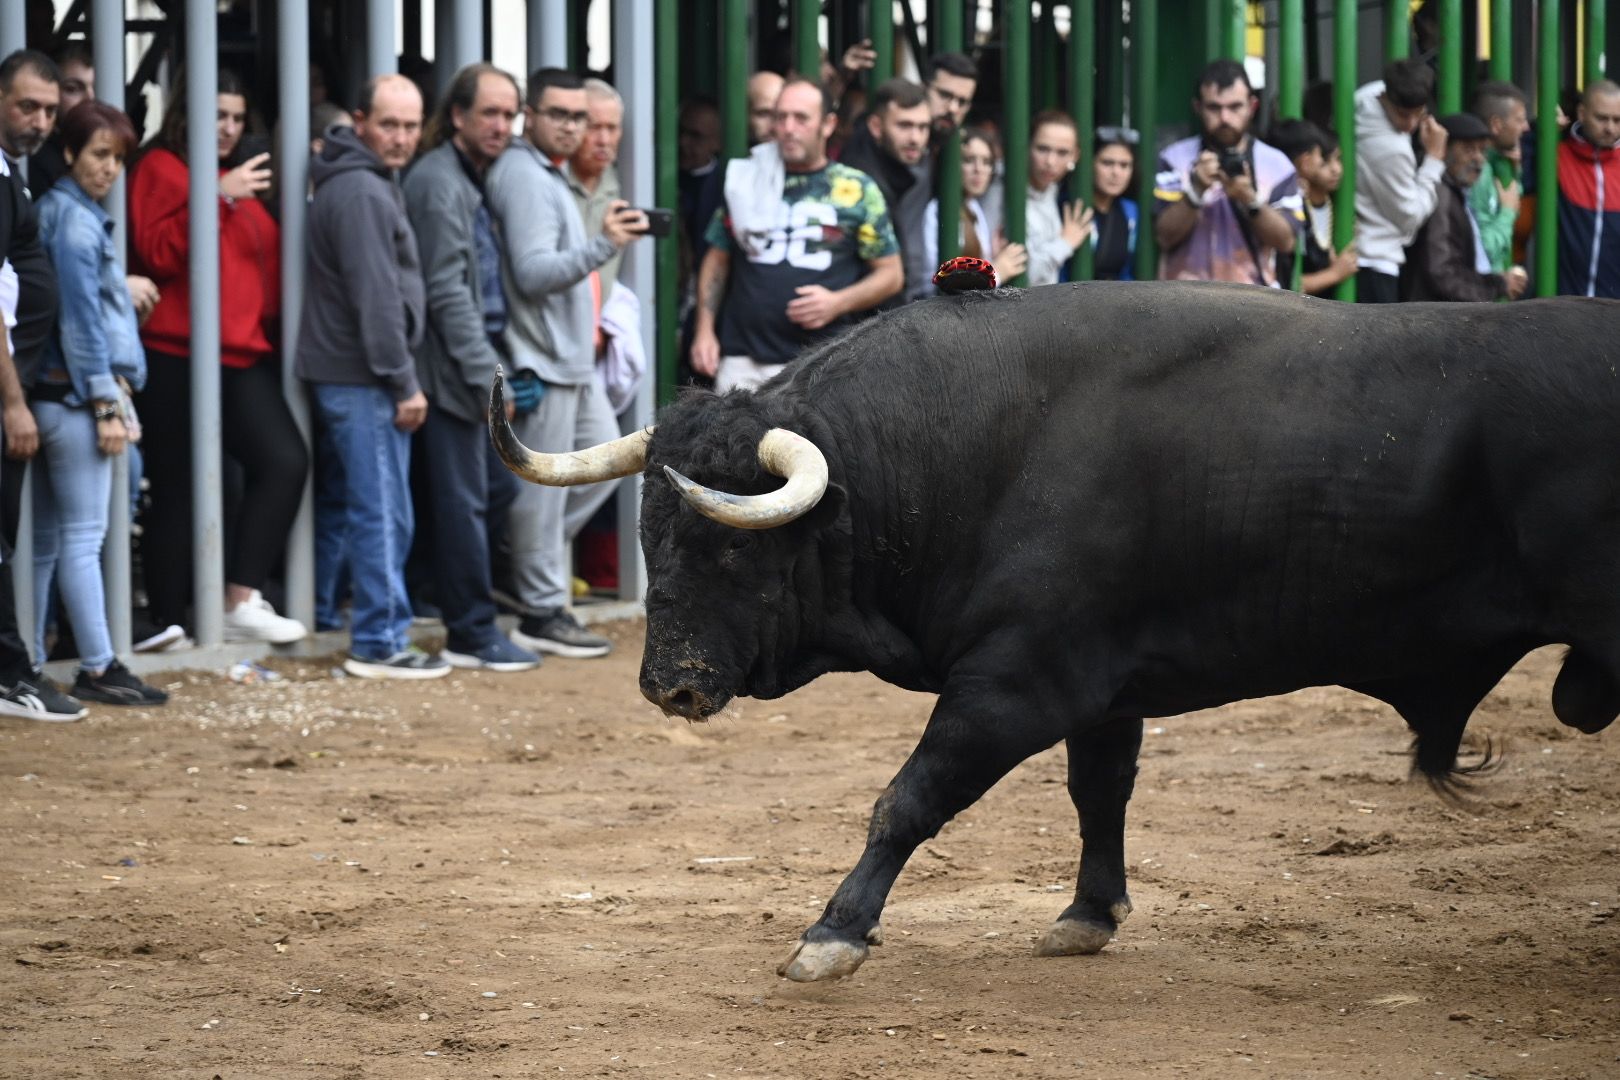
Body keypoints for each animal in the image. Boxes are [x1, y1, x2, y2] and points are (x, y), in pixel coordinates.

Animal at [486, 283, 1613, 984]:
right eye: (648, 537)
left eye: (730, 553)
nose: (667, 686)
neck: (968, 444)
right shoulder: (1104, 689)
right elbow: (1098, 793)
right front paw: (1088, 915)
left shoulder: (1016, 685)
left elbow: (907, 800)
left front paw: (833, 933)